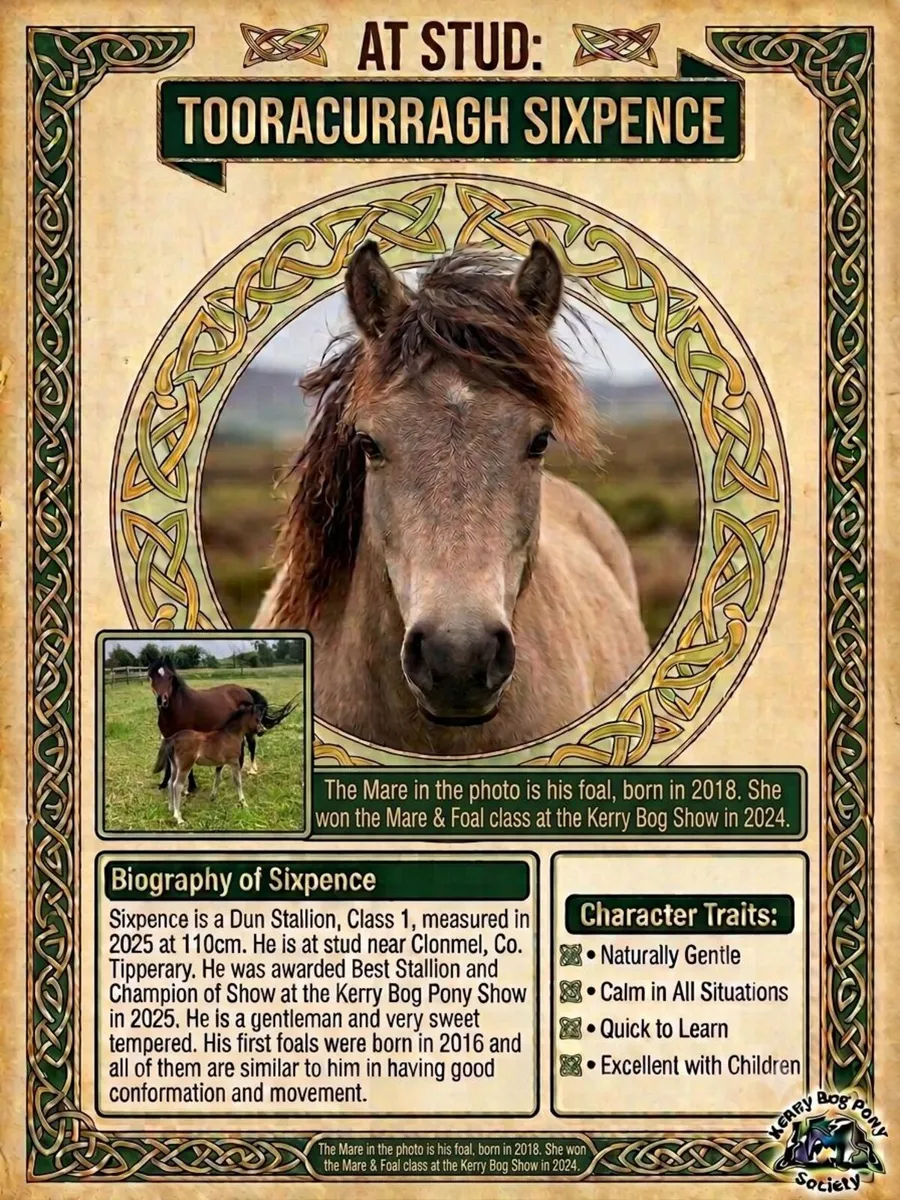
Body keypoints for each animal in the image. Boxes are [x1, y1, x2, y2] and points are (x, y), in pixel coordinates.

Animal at [148, 657, 296, 791]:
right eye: (152, 677)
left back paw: (252, 770)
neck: (180, 708)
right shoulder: (168, 737)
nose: (162, 700)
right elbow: (169, 762)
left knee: (251, 745)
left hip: (249, 728)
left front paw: (191, 787)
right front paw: (164, 784)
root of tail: (244, 690)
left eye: (170, 677)